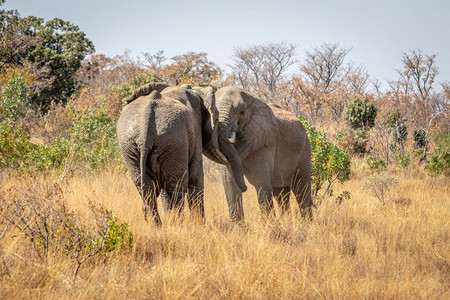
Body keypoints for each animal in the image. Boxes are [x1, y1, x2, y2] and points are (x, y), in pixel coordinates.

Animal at [117, 82, 229, 225]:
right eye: (217, 117)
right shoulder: (195, 131)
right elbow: (196, 177)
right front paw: (201, 226)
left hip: (130, 145)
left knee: (147, 187)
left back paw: (158, 226)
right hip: (173, 142)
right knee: (175, 185)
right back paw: (178, 225)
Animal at [211, 85, 312, 221]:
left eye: (242, 113)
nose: (245, 188)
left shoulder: (265, 140)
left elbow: (261, 183)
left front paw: (269, 225)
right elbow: (229, 181)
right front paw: (238, 226)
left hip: (305, 151)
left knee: (302, 190)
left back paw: (307, 224)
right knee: (281, 193)